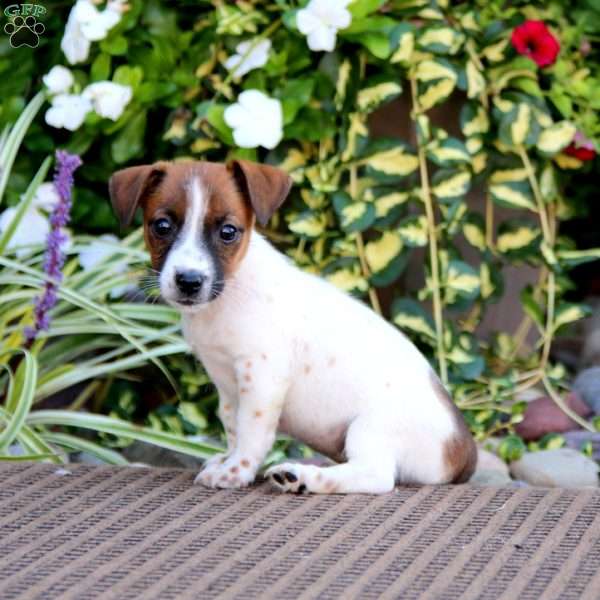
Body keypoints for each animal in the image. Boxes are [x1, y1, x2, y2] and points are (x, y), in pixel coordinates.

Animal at [109, 158, 478, 492]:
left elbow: (251, 433)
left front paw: (236, 472)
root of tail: (463, 454)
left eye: (228, 232)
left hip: (371, 429)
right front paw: (227, 459)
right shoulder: (227, 384)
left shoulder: (262, 377)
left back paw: (301, 477)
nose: (189, 280)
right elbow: (233, 427)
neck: (228, 295)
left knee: (375, 477)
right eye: (161, 226)